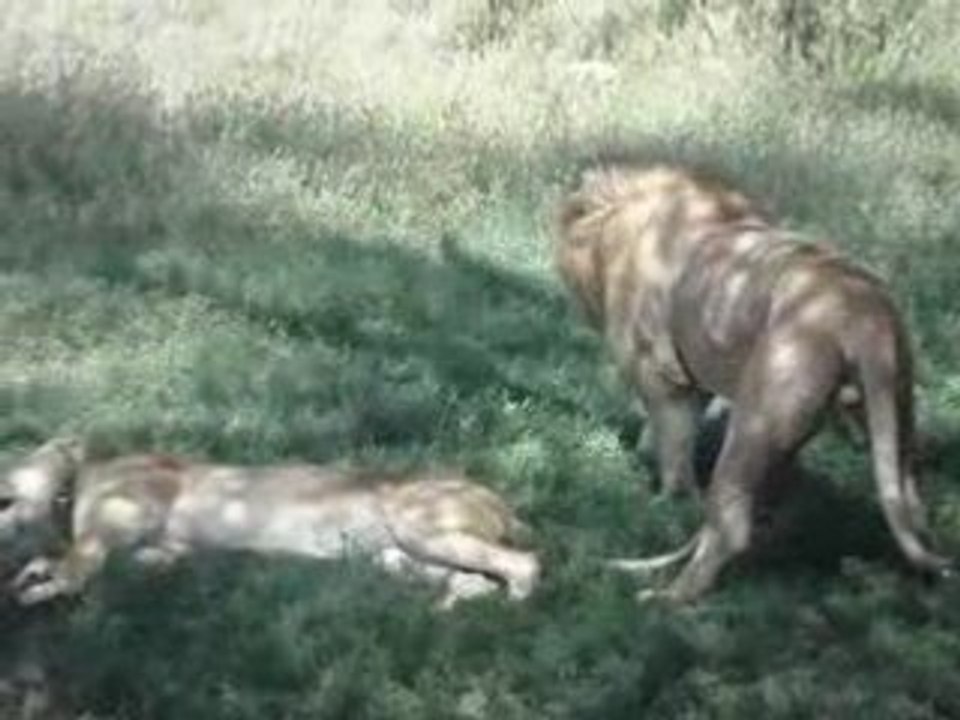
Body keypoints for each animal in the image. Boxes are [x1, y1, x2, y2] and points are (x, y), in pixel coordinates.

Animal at [0, 438, 540, 610]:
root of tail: (498, 498)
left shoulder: (114, 528)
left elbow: (72, 570)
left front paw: (34, 590)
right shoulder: (161, 553)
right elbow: (57, 564)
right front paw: (31, 575)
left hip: (419, 527)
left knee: (525, 564)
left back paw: (515, 606)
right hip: (401, 558)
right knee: (475, 580)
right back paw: (448, 607)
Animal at [554, 163, 951, 602]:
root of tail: (866, 311)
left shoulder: (663, 377)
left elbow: (674, 452)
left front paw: (666, 502)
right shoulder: (695, 373)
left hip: (758, 416)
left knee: (730, 525)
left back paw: (668, 597)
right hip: (891, 411)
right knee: (910, 503)